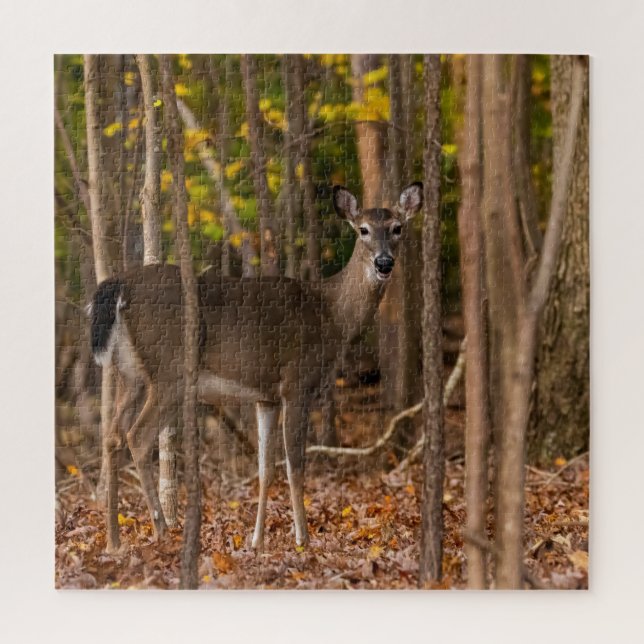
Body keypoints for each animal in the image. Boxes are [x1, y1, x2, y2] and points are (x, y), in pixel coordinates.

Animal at [88, 182, 423, 554]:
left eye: (397, 228)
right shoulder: (297, 382)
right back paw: (162, 530)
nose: (384, 262)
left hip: (130, 374)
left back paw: (113, 540)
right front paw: (302, 539)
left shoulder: (266, 397)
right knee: (139, 435)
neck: (331, 315)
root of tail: (119, 286)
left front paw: (256, 540)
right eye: (363, 229)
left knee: (113, 435)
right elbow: (295, 465)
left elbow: (265, 468)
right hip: (170, 370)